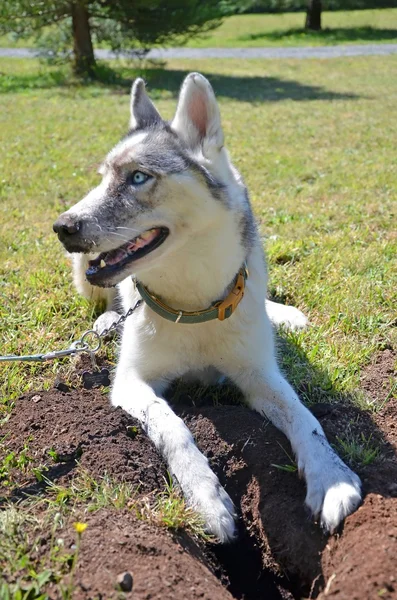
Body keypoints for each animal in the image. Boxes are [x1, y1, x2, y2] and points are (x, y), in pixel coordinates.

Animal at [54, 72, 360, 540]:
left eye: (138, 177)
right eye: (104, 177)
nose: (62, 227)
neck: (193, 304)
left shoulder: (259, 375)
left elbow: (306, 418)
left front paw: (331, 477)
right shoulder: (132, 381)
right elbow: (173, 426)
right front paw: (205, 495)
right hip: (84, 276)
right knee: (105, 300)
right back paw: (107, 321)